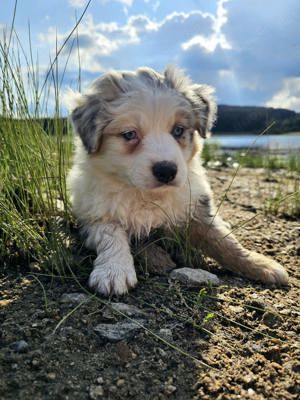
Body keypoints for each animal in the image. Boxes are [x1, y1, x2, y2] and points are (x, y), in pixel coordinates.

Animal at [67, 65, 288, 296]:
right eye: (129, 134)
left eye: (178, 130)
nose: (166, 170)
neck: (146, 194)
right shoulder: (94, 212)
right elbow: (111, 235)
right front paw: (113, 271)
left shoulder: (196, 206)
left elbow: (224, 241)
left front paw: (261, 264)